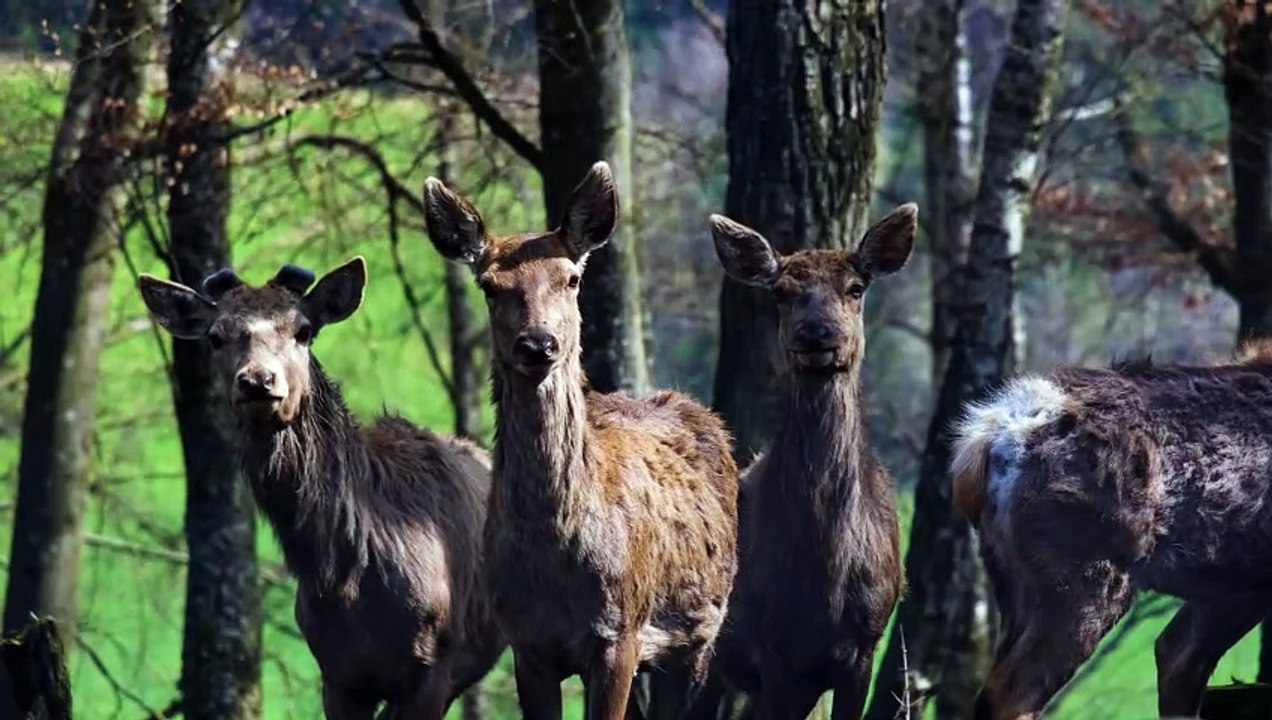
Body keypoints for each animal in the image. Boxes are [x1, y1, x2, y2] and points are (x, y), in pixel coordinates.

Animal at [137, 257, 504, 720]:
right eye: (216, 336)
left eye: (303, 330)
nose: (259, 380)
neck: (349, 578)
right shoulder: (337, 674)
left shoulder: (433, 662)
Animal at [421, 161, 740, 720]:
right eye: (490, 286)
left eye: (571, 279)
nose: (537, 343)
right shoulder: (526, 642)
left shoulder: (620, 631)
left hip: (700, 632)